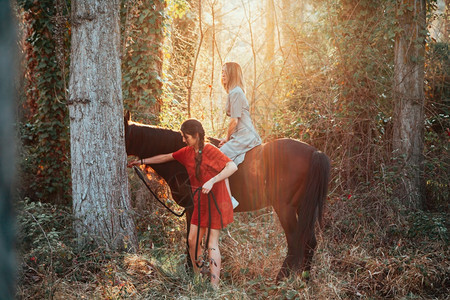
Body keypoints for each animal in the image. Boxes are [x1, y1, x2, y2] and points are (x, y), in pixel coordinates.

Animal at [124, 111, 330, 280]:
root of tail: (315, 152)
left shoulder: (192, 208)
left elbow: (190, 239)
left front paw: (191, 271)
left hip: (285, 208)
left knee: (295, 241)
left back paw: (280, 280)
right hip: (304, 207)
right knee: (310, 241)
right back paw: (304, 279)